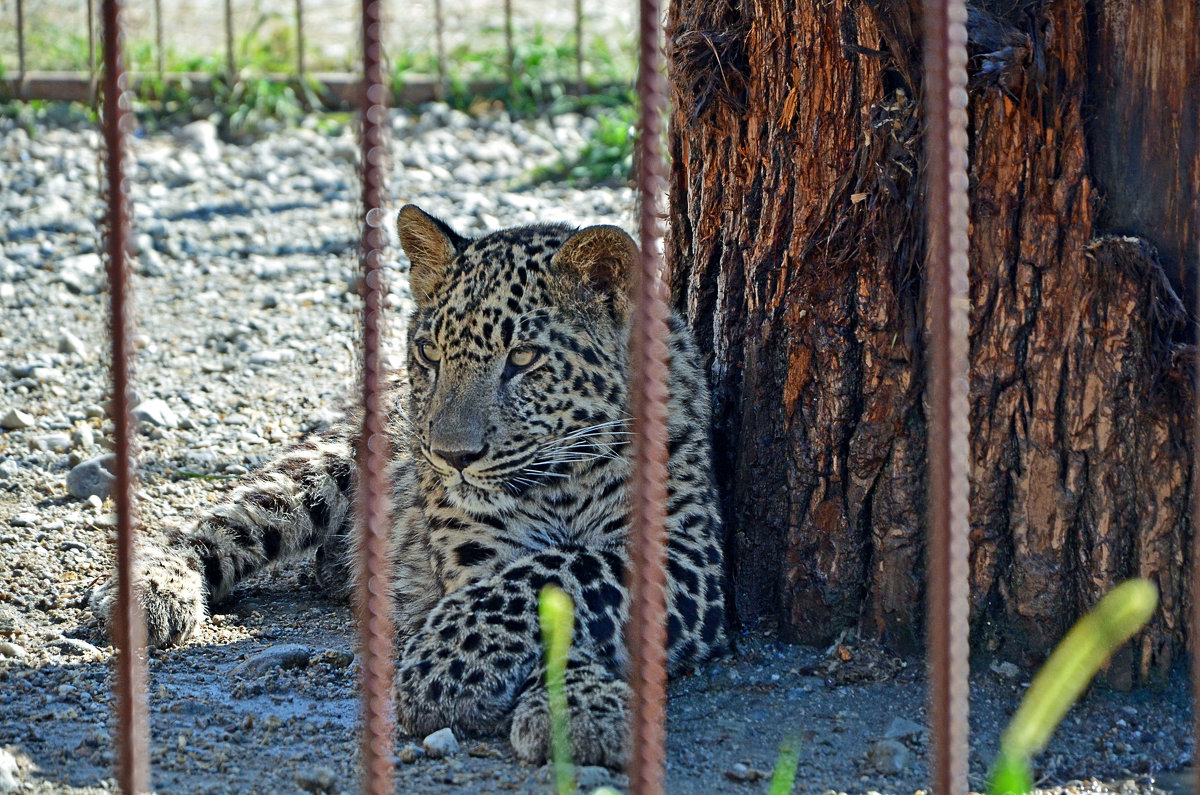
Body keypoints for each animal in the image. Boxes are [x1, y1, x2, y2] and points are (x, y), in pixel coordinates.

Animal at [88, 202, 724, 768]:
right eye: (430, 353)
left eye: (523, 358)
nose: (450, 457)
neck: (559, 483)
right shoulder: (479, 556)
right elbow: (526, 584)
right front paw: (462, 673)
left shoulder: (687, 553)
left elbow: (568, 571)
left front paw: (575, 708)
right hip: (316, 472)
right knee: (222, 521)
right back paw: (152, 591)